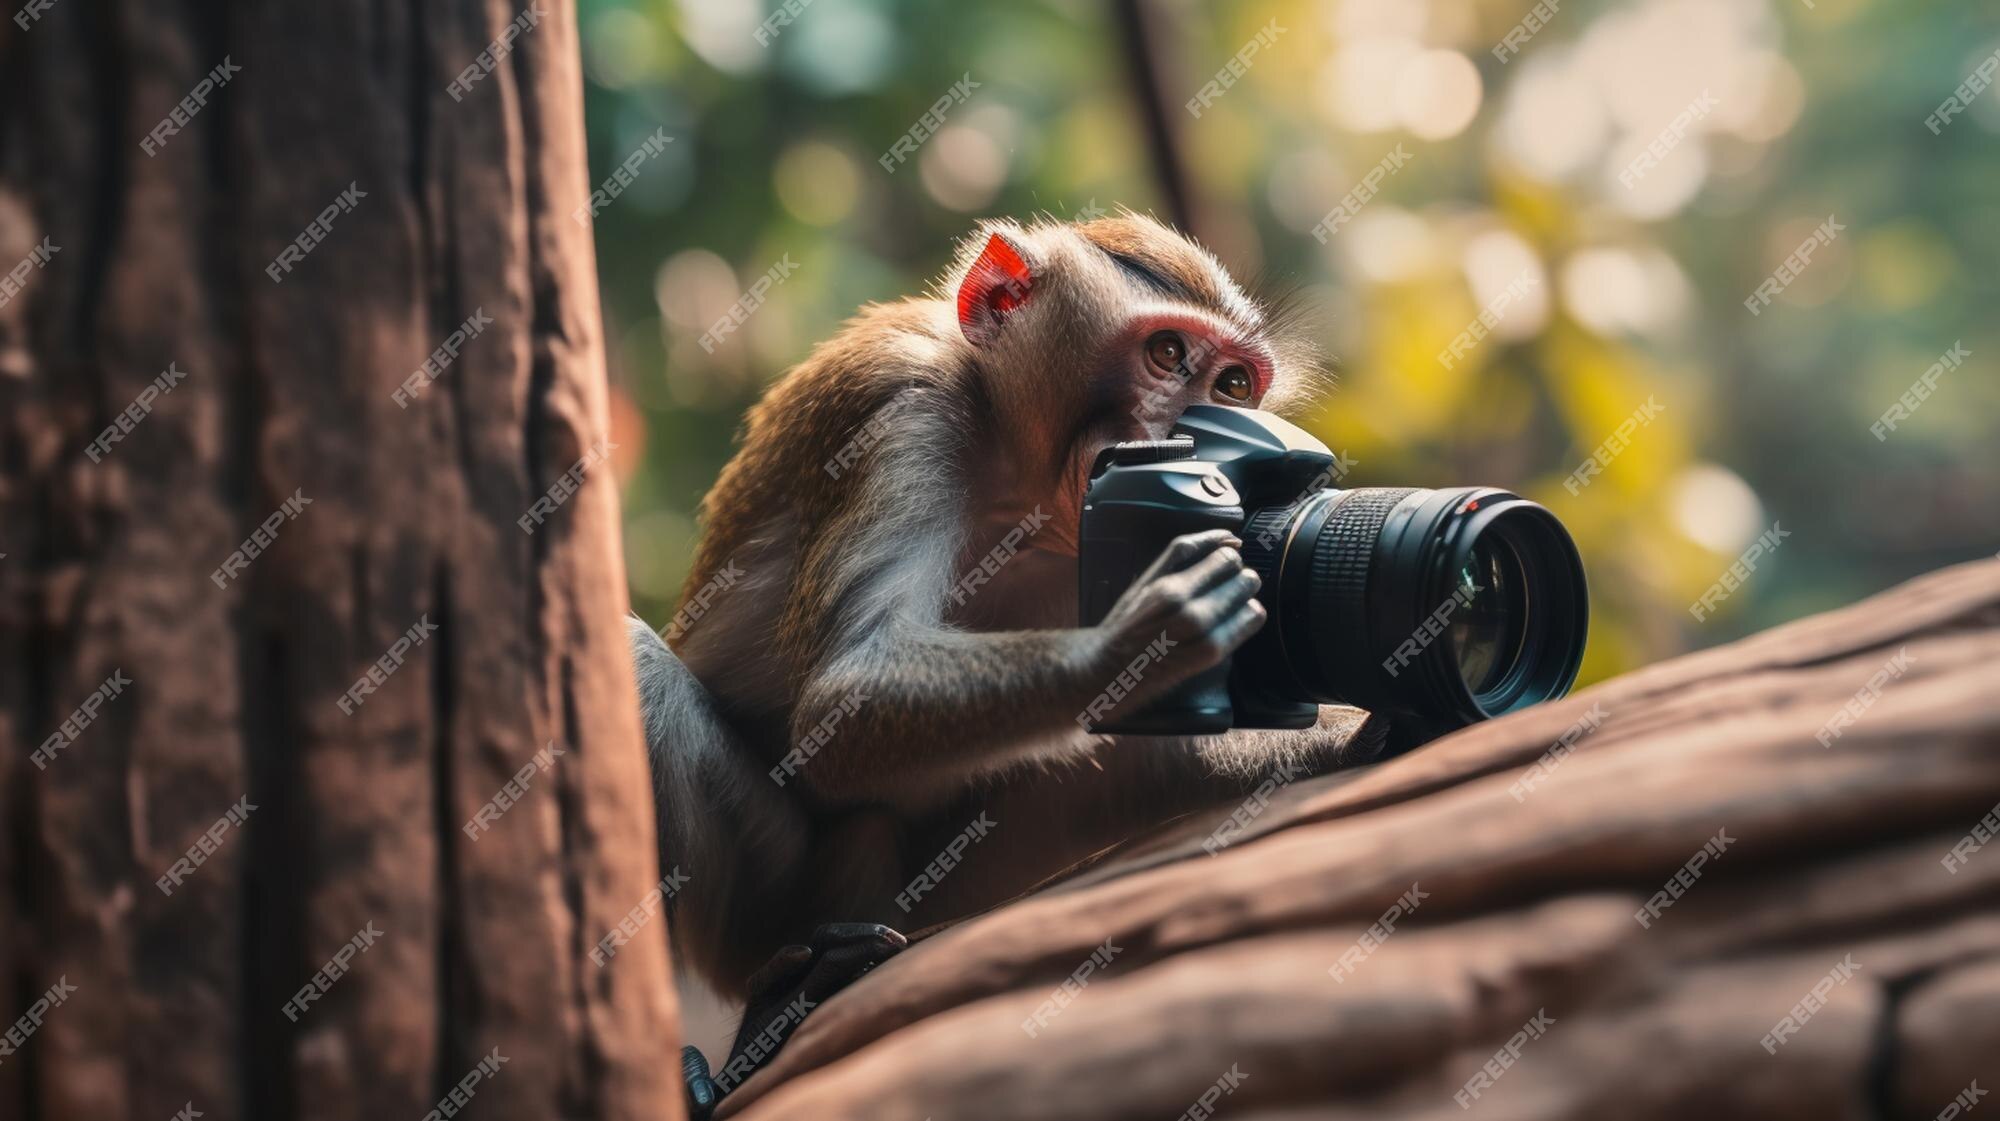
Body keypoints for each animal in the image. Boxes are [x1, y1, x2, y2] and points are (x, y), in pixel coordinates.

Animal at [632, 212, 1384, 1048]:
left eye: (1232, 386)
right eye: (1166, 354)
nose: (1191, 432)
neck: (1021, 489)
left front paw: (1343, 734)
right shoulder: (905, 412)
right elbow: (847, 692)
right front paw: (1136, 644)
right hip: (758, 908)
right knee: (647, 676)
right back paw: (787, 981)